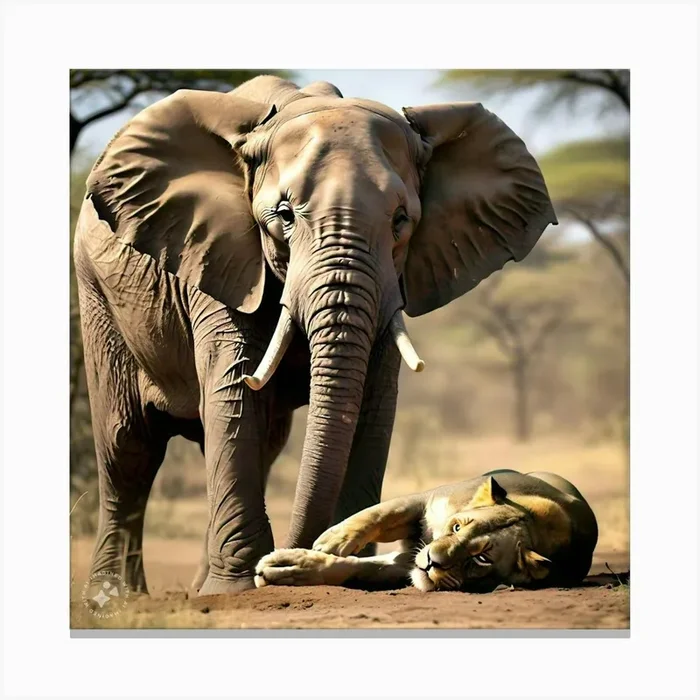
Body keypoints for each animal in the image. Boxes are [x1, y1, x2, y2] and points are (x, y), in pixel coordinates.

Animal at [73, 75, 556, 596]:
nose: (281, 562)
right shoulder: (219, 258)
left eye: (401, 221)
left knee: (256, 446)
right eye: (284, 215)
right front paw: (239, 589)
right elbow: (233, 393)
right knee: (128, 448)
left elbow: (370, 402)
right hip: (97, 297)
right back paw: (114, 599)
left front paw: (333, 561)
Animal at [255, 470, 598, 592]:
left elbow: (357, 568)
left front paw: (288, 569)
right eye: (457, 526)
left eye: (481, 559)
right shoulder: (428, 499)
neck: (532, 521)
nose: (431, 560)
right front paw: (330, 541)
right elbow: (378, 514)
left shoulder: (407, 563)